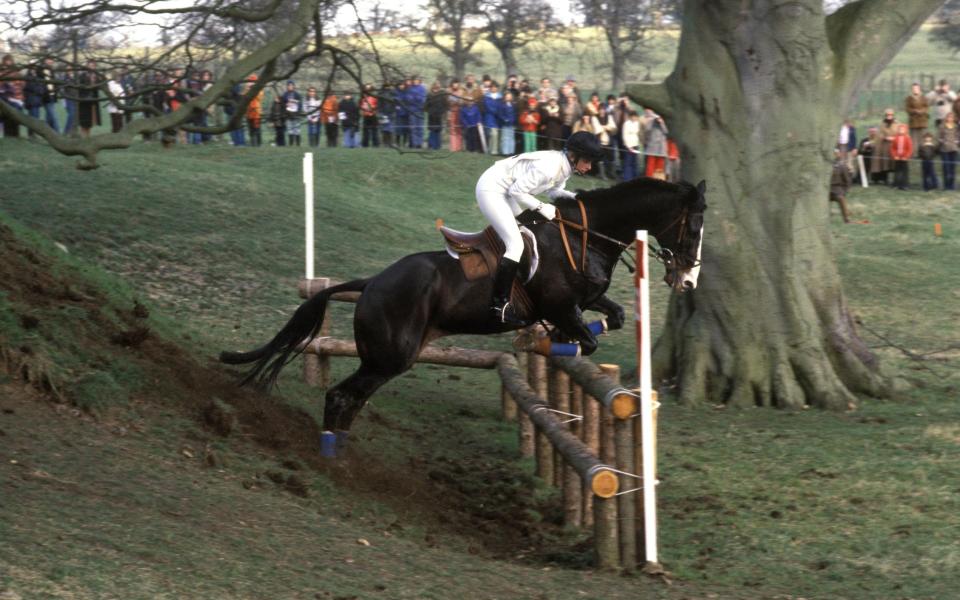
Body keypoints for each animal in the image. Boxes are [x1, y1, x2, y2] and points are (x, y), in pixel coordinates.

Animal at [221, 176, 708, 442]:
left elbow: (614, 317)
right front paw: (544, 340)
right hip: (390, 356)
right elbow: (583, 341)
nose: (687, 281)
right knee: (342, 396)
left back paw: (340, 448)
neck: (581, 235)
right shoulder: (560, 305)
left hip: (388, 359)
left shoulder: (584, 300)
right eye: (694, 226)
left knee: (351, 399)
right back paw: (332, 454)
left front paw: (548, 337)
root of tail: (372, 284)